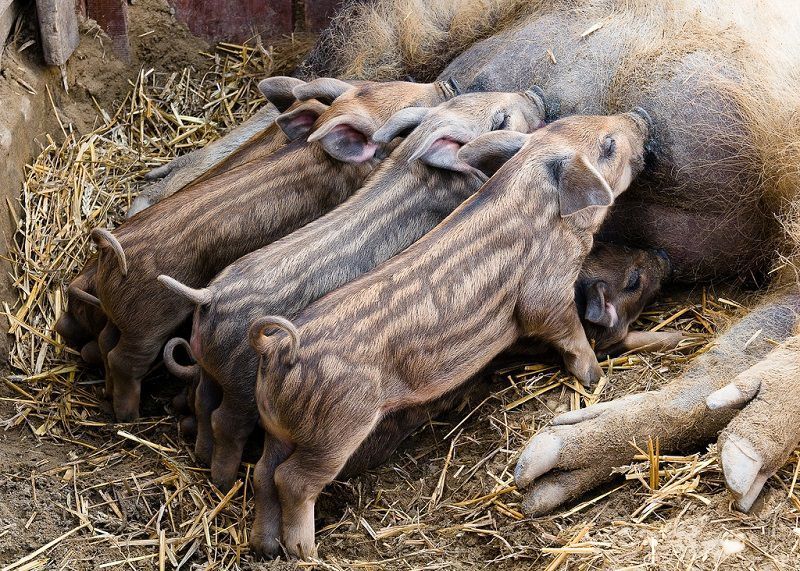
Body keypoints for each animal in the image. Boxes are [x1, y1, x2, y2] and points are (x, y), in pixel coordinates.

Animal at [90, 78, 460, 422]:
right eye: (407, 114)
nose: (449, 84)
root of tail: (112, 251)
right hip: (147, 327)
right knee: (124, 359)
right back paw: (126, 415)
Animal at [159, 89, 548, 492]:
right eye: (500, 120)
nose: (535, 94)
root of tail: (208, 298)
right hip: (241, 386)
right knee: (226, 421)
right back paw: (222, 482)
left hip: (211, 369)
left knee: (203, 403)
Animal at [248, 109, 648, 556]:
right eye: (608, 145)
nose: (639, 117)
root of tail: (280, 351)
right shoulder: (547, 292)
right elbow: (568, 334)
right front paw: (596, 377)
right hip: (336, 429)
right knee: (292, 480)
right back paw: (307, 553)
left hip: (277, 428)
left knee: (262, 472)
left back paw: (265, 548)